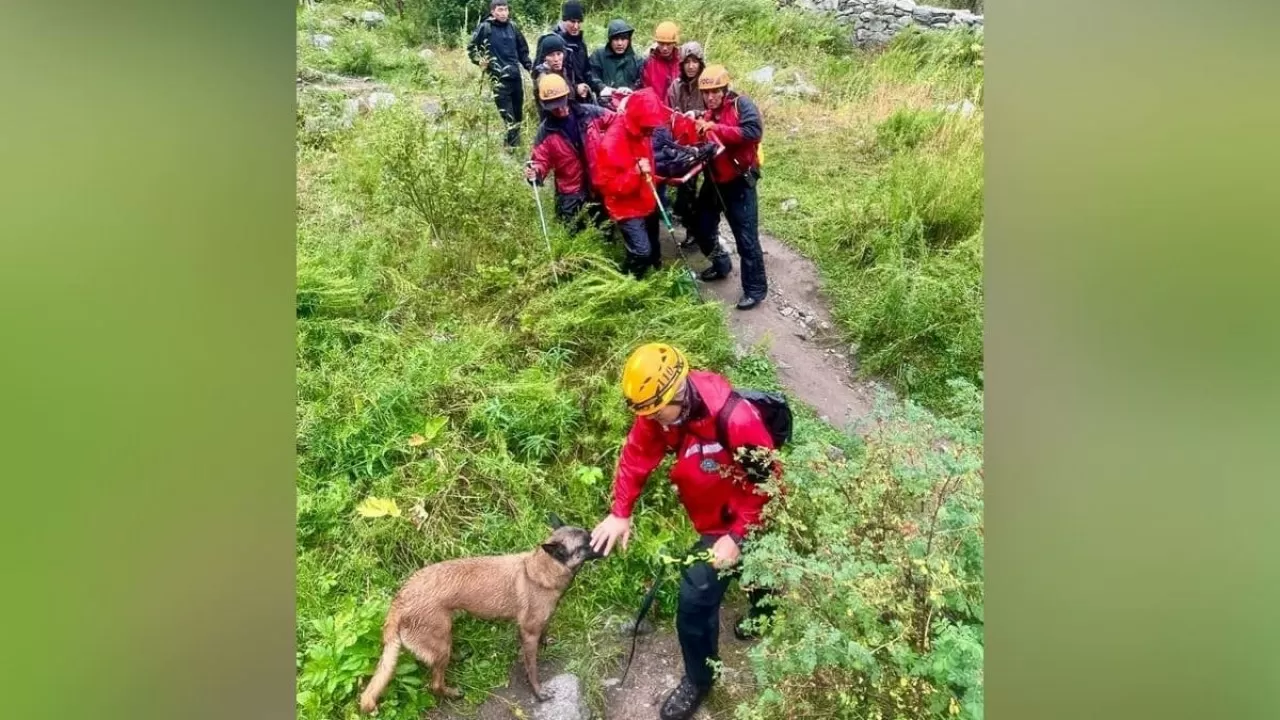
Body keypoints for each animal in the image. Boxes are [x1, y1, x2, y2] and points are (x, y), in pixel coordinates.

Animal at [358, 512, 601, 707]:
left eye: (589, 533)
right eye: (586, 543)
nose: (603, 538)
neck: (542, 570)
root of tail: (400, 600)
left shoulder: (540, 623)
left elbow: (545, 632)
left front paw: (546, 642)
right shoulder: (528, 633)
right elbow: (532, 668)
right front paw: (539, 693)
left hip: (442, 639)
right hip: (440, 643)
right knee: (434, 684)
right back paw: (452, 693)